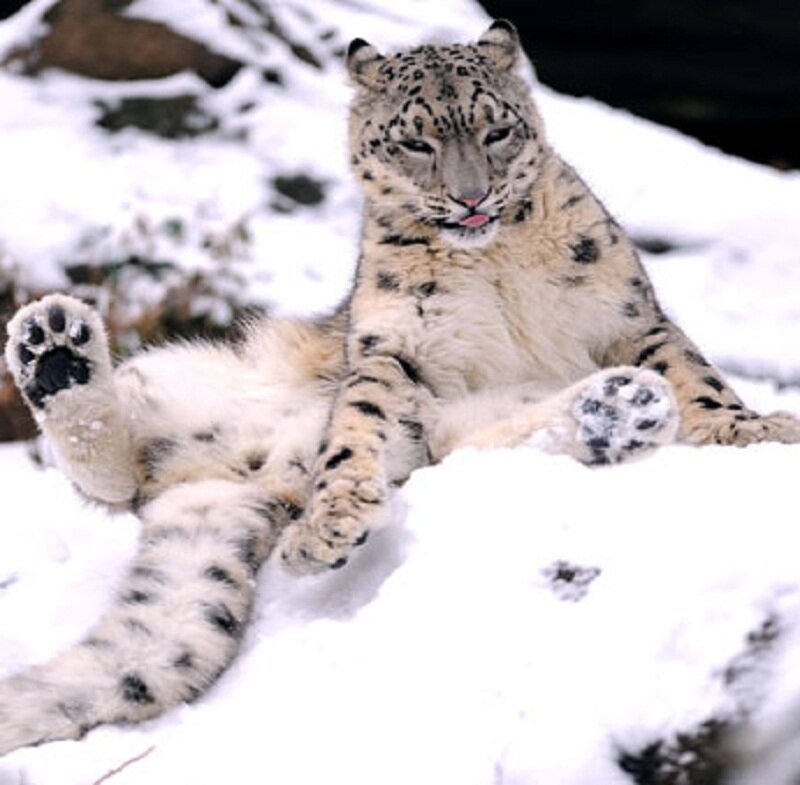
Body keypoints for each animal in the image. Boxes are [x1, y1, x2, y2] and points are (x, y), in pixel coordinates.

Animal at [0, 19, 797, 756]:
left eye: (497, 129)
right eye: (415, 143)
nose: (471, 200)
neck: (494, 262)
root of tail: (245, 474)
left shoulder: (631, 319)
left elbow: (695, 375)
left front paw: (749, 427)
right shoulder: (393, 352)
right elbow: (356, 426)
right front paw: (329, 525)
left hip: (444, 432)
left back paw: (618, 410)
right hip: (179, 379)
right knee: (114, 470)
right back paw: (54, 347)